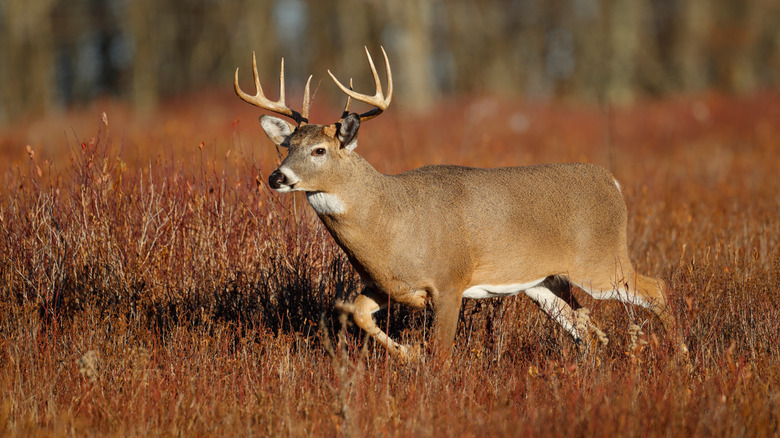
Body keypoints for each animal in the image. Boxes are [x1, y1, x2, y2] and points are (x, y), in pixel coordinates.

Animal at [233, 48, 676, 362]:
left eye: (320, 150)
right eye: (287, 146)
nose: (277, 178)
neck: (391, 220)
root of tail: (613, 182)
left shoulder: (450, 280)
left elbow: (442, 354)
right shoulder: (385, 283)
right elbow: (354, 312)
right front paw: (408, 354)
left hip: (600, 262)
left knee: (657, 289)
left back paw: (681, 359)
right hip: (544, 281)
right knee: (587, 328)